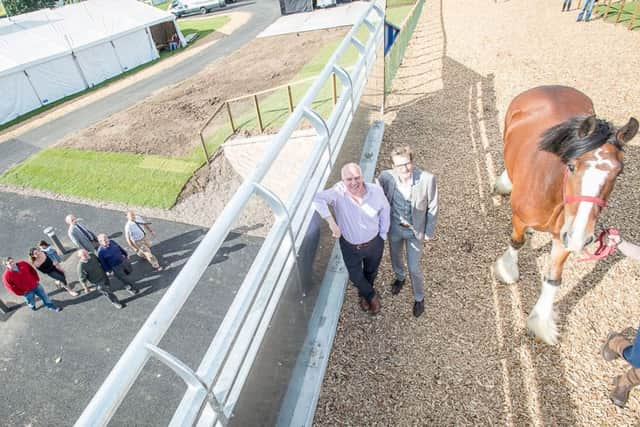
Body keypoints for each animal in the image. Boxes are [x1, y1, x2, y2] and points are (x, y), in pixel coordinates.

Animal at [496, 85, 636, 346]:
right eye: (571, 166)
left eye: (618, 173)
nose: (581, 236)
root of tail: (552, 87)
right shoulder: (521, 219)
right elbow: (517, 242)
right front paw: (507, 270)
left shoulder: (564, 237)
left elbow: (553, 279)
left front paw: (541, 323)